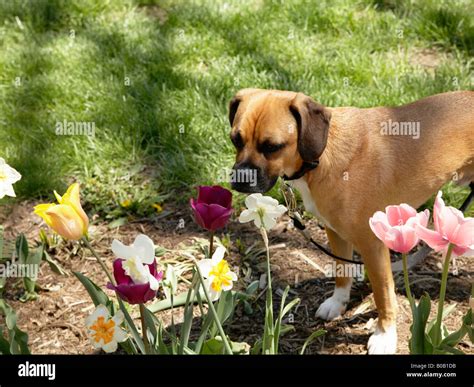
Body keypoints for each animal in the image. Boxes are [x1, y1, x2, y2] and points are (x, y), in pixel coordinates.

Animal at [228, 88, 472, 354]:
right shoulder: (335, 232)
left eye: (272, 146)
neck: (322, 156)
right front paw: (338, 302)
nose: (239, 180)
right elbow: (341, 272)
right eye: (235, 140)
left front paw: (385, 334)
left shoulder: (373, 246)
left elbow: (383, 296)